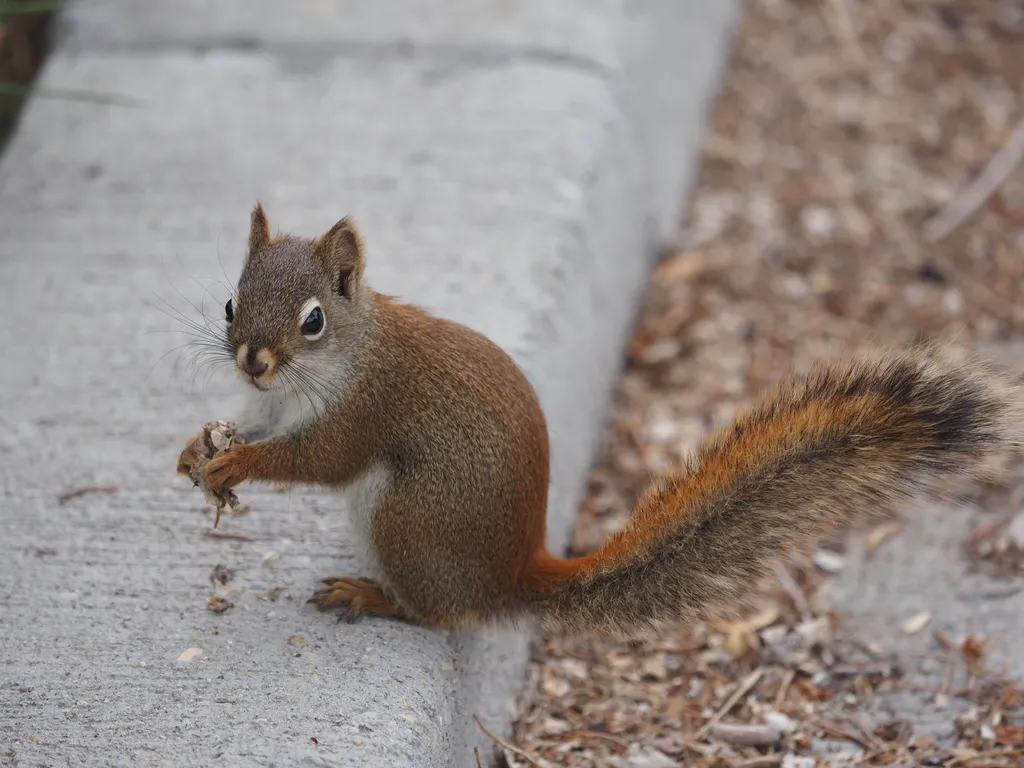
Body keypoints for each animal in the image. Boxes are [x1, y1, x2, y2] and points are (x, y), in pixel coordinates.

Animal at [178, 202, 1024, 636]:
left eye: (314, 321)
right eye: (229, 302)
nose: (252, 361)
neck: (333, 365)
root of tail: (516, 574)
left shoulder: (366, 408)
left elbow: (316, 460)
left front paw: (240, 463)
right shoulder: (274, 402)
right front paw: (199, 451)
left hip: (408, 520)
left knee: (441, 615)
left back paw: (372, 595)